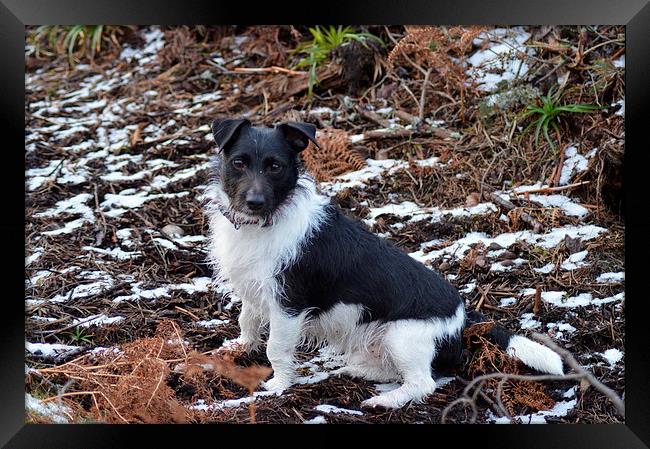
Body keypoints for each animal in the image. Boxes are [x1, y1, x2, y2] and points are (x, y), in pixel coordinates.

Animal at [205, 117, 560, 408]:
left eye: (275, 166)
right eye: (239, 162)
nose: (254, 202)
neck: (266, 223)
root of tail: (462, 317)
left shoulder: (288, 305)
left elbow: (276, 348)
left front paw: (278, 384)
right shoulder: (254, 288)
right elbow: (247, 320)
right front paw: (239, 346)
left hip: (402, 336)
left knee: (422, 383)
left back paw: (386, 401)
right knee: (388, 370)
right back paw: (352, 370)